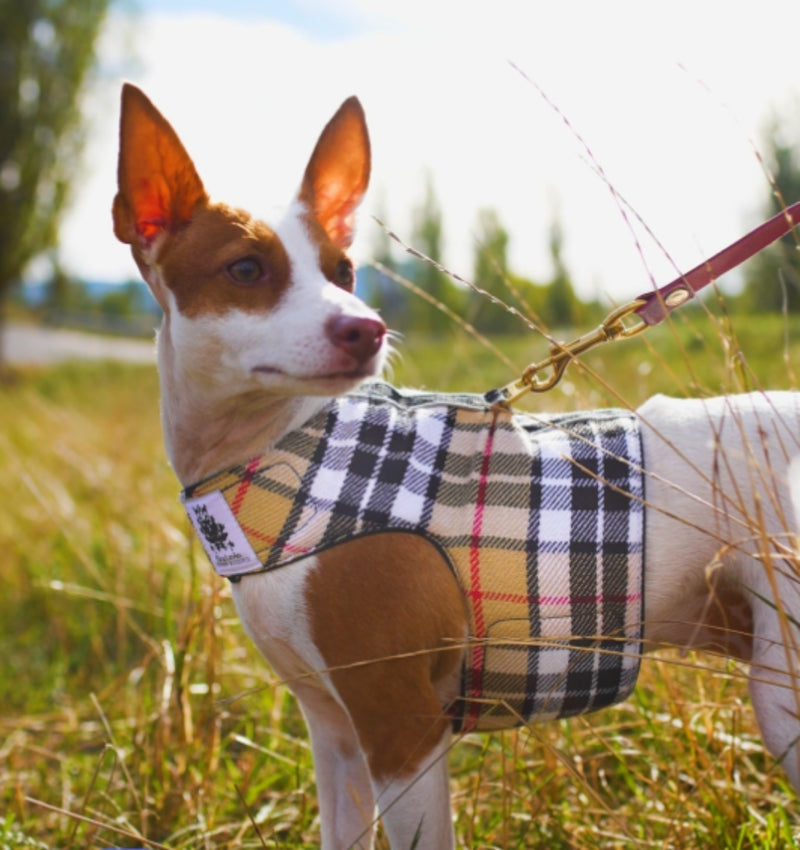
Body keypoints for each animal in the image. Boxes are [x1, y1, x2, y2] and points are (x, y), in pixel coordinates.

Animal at [112, 81, 800, 848]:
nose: (367, 328)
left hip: (783, 692)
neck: (286, 457)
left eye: (344, 272)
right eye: (245, 269)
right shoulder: (336, 732)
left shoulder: (402, 728)